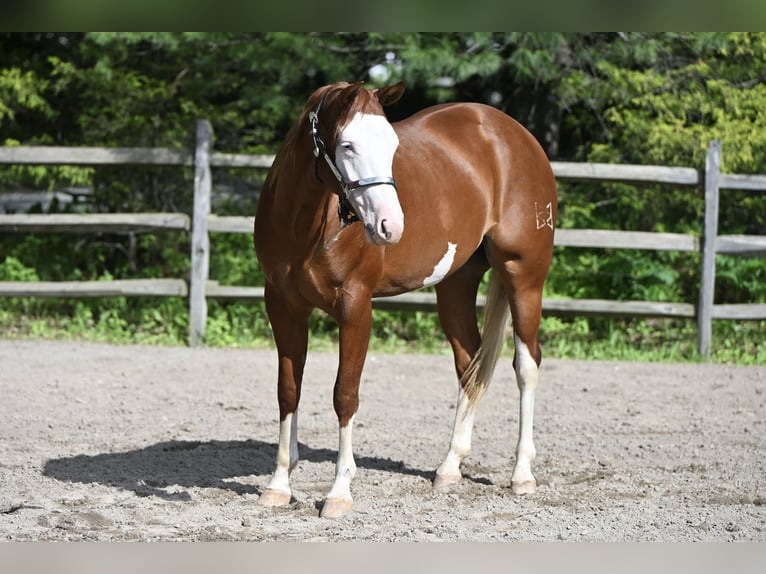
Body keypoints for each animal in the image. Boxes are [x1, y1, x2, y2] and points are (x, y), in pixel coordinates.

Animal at [253, 80, 557, 518]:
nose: (391, 226)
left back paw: (522, 474)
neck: (306, 226)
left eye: (392, 144)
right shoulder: (283, 307)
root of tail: (515, 134)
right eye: (347, 145)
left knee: (526, 365)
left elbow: (345, 395)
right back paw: (449, 467)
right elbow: (288, 391)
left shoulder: (356, 308)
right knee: (469, 364)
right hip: (455, 285)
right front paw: (278, 485)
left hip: (524, 276)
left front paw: (339, 492)